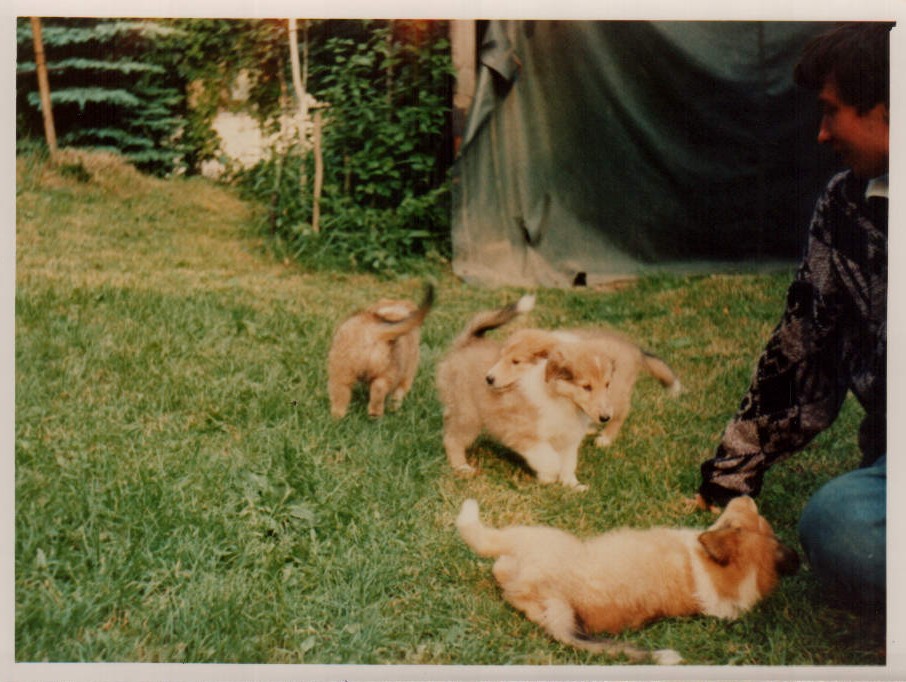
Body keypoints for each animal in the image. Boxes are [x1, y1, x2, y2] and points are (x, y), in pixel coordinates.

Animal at [327, 283, 434, 418]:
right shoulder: (408, 375)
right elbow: (398, 394)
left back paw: (339, 416)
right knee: (380, 389)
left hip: (342, 369)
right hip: (391, 372)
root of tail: (376, 331)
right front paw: (394, 408)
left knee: (341, 394)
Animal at [437, 297, 620, 489]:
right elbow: (550, 459)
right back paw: (462, 467)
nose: (606, 418)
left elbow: (569, 463)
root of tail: (467, 343)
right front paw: (549, 477)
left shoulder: (568, 440)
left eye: (607, 384)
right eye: (586, 387)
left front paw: (572, 485)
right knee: (452, 439)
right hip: (468, 415)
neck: (562, 401)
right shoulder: (524, 434)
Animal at [456, 496, 799, 664]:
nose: (746, 495)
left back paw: (469, 510)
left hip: (530, 535)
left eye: (735, 521)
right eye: (759, 522)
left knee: (484, 542)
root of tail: (559, 602)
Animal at [485, 327, 681, 448]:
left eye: (516, 362)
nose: (488, 378)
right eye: (501, 357)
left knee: (620, 412)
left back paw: (606, 438)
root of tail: (636, 350)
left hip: (614, 394)